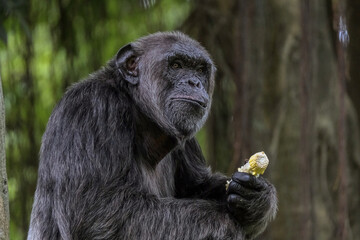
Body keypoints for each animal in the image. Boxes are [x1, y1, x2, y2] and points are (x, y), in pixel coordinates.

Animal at [28, 31, 278, 240]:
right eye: (176, 65)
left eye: (200, 69)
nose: (194, 82)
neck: (141, 116)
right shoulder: (92, 111)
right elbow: (101, 212)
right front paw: (226, 222)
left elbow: (198, 185)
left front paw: (257, 199)